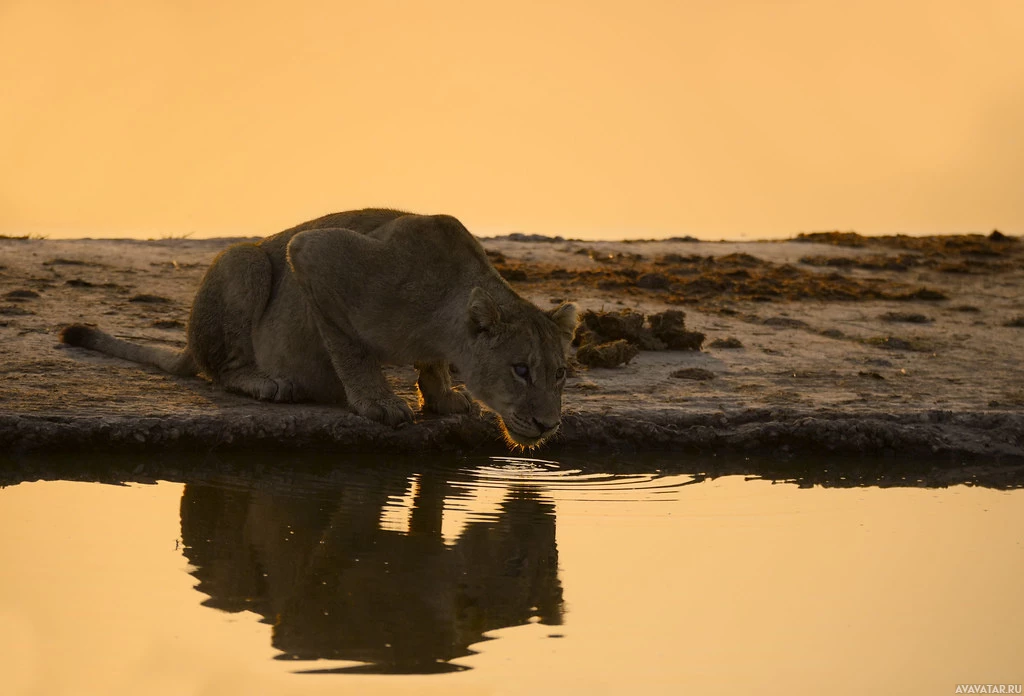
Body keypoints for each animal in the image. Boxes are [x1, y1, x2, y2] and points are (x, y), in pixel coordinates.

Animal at [59, 207, 581, 446]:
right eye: (520, 370)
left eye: (559, 374)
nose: (549, 424)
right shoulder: (317, 256)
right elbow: (350, 346)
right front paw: (378, 403)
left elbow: (431, 366)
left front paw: (442, 397)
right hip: (247, 260)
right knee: (222, 369)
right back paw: (267, 383)